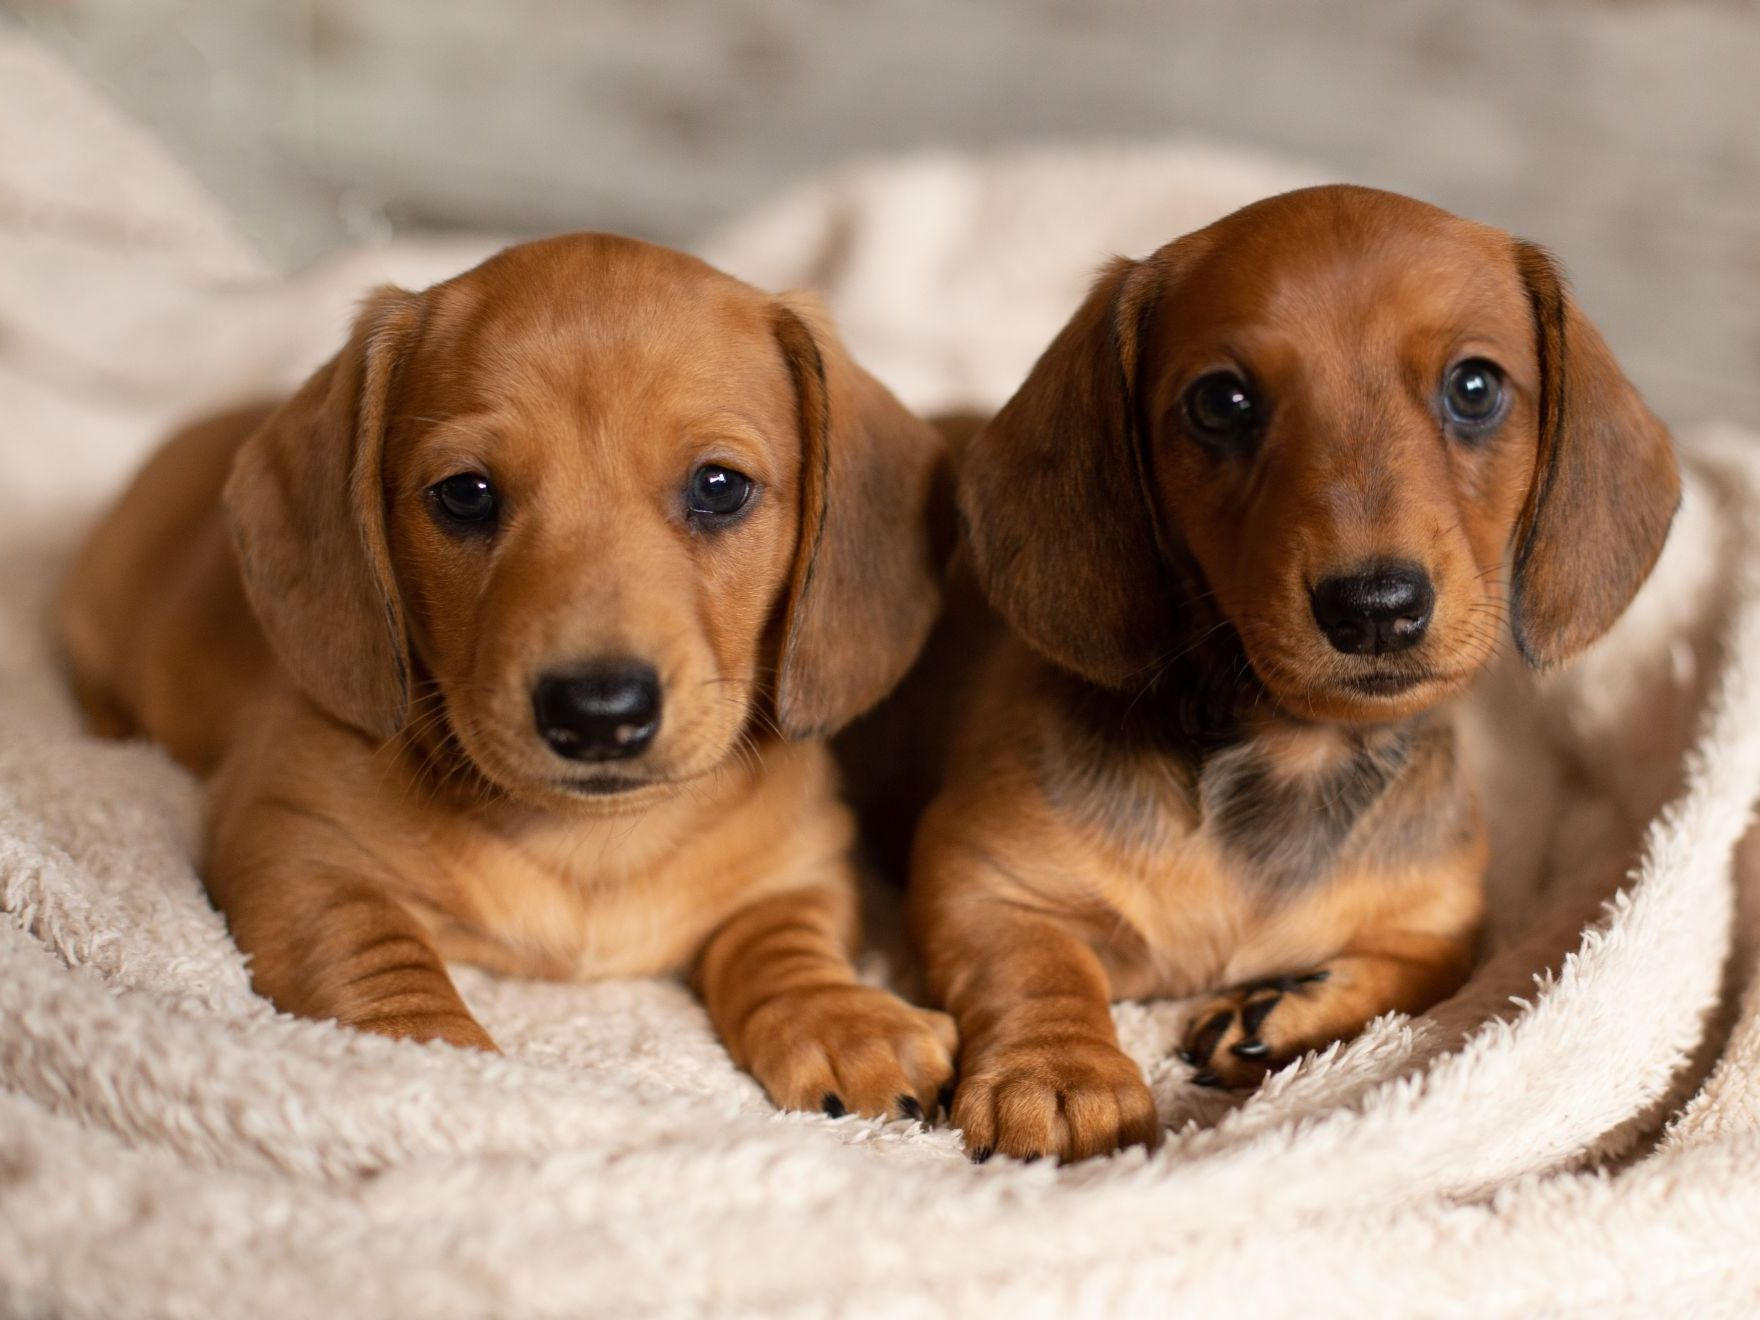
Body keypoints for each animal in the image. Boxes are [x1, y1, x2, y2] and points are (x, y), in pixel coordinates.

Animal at [58, 232, 964, 1119]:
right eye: (465, 493)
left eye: (720, 487)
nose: (598, 712)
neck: (591, 844)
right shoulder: (291, 842)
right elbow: (373, 952)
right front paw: (433, 1060)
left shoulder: (801, 865)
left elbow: (782, 940)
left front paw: (843, 1021)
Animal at [908, 188, 1675, 1168]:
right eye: (1222, 400)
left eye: (1474, 387)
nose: (1376, 608)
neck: (1289, 751)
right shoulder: (977, 873)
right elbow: (1033, 963)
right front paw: (1059, 1073)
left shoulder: (1443, 916)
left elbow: (1428, 966)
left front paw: (1287, 1009)